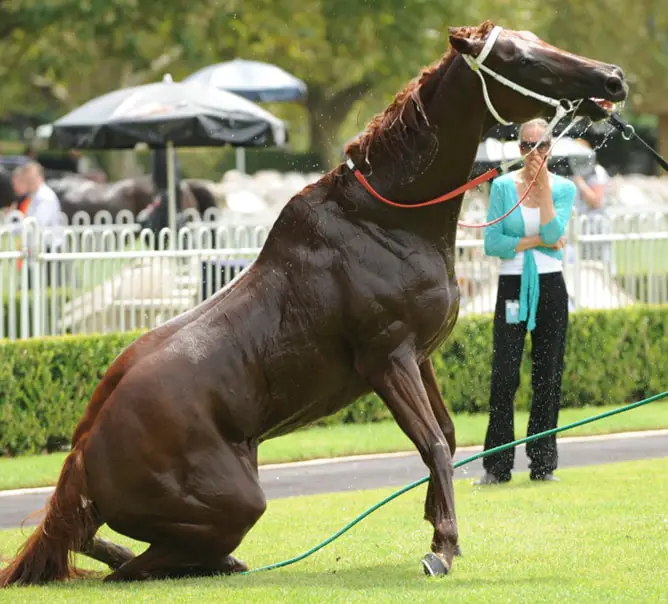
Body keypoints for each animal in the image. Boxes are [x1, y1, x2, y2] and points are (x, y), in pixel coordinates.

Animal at [0, 21, 628, 588]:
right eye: (522, 58)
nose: (613, 78)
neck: (388, 217)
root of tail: (84, 447)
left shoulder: (420, 356)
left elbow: (447, 438)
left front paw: (435, 522)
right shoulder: (388, 358)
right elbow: (432, 443)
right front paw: (443, 547)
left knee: (84, 540)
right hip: (235, 501)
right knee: (134, 566)